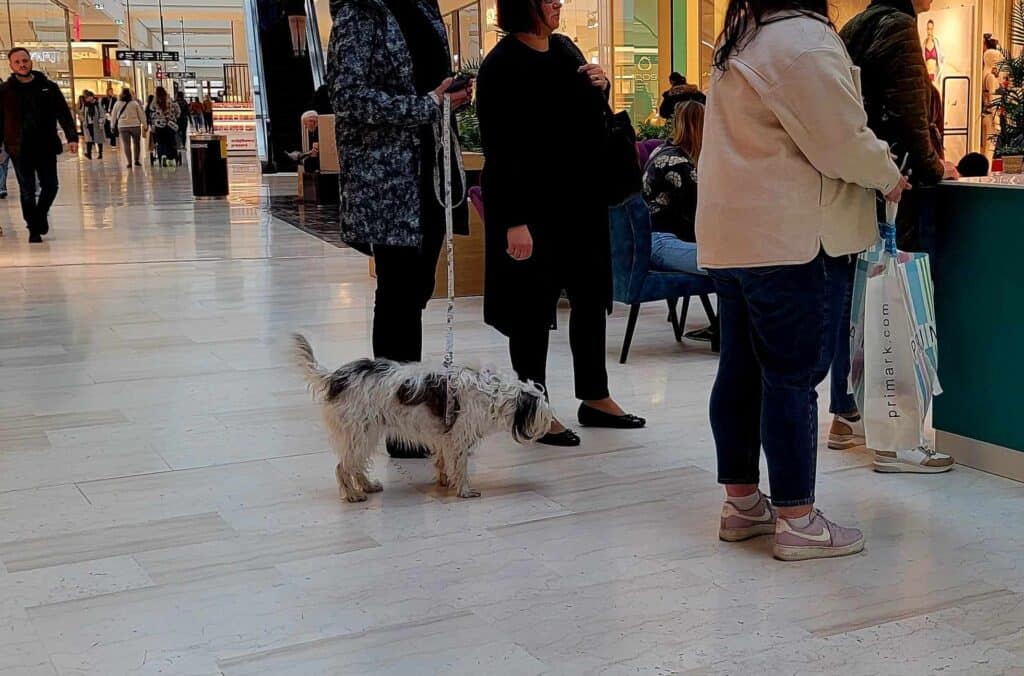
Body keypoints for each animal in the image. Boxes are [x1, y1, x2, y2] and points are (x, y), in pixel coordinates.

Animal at [290, 333, 552, 499]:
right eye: (543, 407)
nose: (551, 423)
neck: (492, 393)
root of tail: (336, 378)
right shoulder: (459, 438)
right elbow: (460, 465)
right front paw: (464, 490)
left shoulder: (446, 437)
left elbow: (444, 461)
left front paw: (445, 481)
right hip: (359, 433)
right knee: (343, 467)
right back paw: (353, 494)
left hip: (365, 433)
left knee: (354, 465)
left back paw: (367, 486)